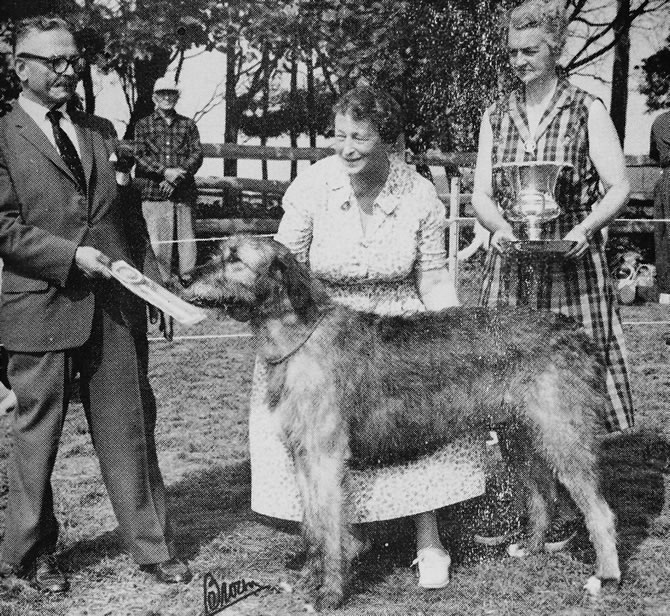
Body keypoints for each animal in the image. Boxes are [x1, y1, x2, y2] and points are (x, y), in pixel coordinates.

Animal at [182, 233, 620, 608]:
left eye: (235, 259)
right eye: (219, 251)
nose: (183, 276)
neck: (300, 336)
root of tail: (575, 330)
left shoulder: (325, 456)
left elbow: (330, 527)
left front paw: (330, 593)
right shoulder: (302, 455)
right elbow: (312, 524)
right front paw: (310, 576)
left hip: (563, 436)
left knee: (600, 511)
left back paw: (606, 577)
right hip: (520, 436)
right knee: (543, 494)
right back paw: (530, 548)